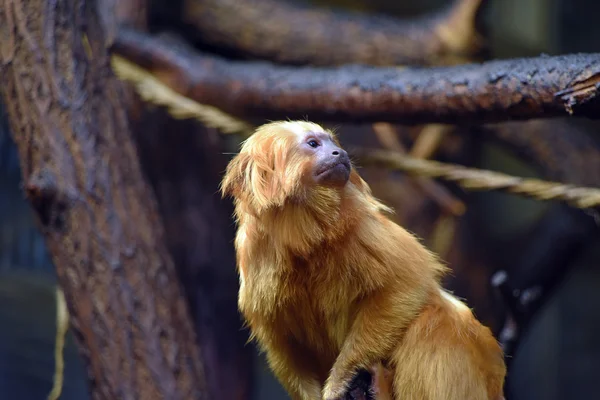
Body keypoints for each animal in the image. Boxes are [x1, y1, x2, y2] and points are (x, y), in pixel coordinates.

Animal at [220, 121, 506, 400]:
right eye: (313, 144)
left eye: (333, 143)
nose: (340, 153)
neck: (303, 238)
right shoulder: (255, 258)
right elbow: (283, 346)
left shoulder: (363, 227)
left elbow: (405, 285)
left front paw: (340, 378)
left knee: (431, 324)